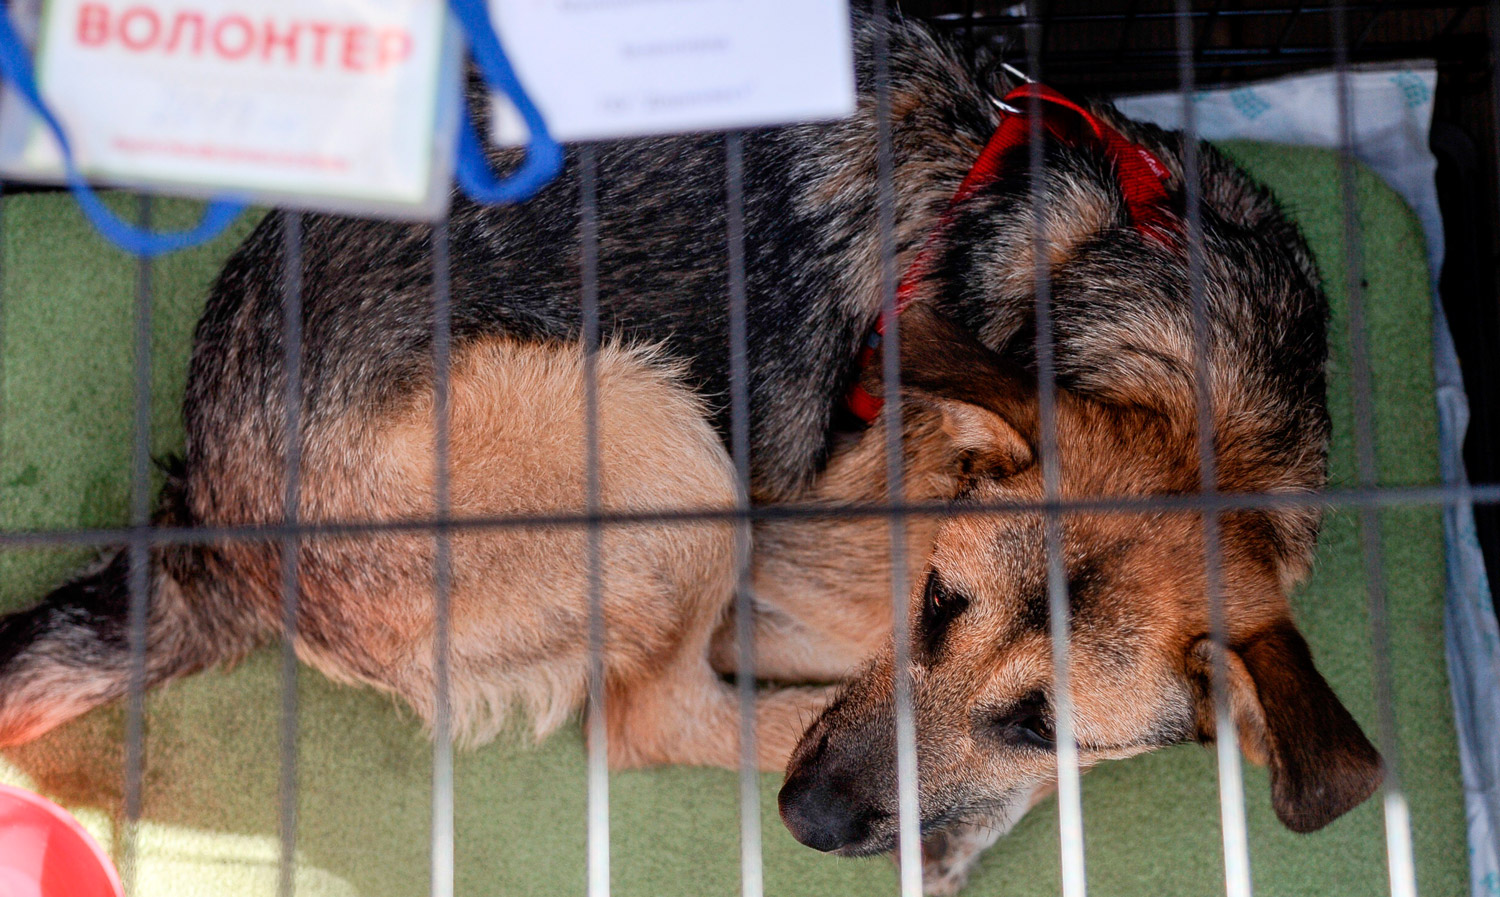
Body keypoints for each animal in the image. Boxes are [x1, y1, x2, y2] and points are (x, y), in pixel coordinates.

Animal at [0, 8, 1380, 897]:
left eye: (1049, 722)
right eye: (936, 602)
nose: (812, 818)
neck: (1190, 375)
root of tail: (217, 526)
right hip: (656, 441)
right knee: (650, 719)